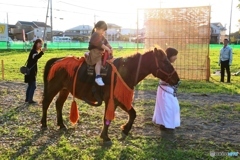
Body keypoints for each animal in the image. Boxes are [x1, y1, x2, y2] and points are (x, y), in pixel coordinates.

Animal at [41, 48, 179, 144]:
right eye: (165, 62)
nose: (177, 79)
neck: (122, 73)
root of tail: (56, 60)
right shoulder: (111, 100)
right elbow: (107, 118)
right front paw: (105, 137)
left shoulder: (120, 100)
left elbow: (133, 113)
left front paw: (125, 129)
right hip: (54, 87)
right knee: (46, 103)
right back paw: (44, 124)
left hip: (64, 89)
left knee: (58, 104)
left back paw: (61, 124)